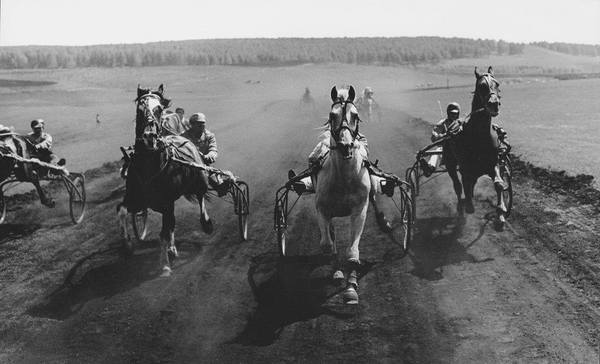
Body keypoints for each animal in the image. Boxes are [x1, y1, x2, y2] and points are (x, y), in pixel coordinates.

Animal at [116, 85, 211, 278]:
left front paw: (165, 266)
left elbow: (164, 234)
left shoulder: (166, 202)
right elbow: (121, 210)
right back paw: (172, 249)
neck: (149, 167)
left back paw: (205, 222)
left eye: (159, 109)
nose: (148, 138)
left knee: (200, 196)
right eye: (139, 109)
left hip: (199, 179)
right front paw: (127, 245)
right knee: (172, 223)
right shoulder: (135, 199)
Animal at [442, 66, 508, 228]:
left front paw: (501, 212)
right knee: (458, 186)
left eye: (497, 83)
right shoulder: (466, 167)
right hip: (450, 163)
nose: (494, 104)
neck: (480, 136)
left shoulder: (492, 163)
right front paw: (469, 206)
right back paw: (462, 207)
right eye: (481, 86)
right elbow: (465, 184)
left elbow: (499, 184)